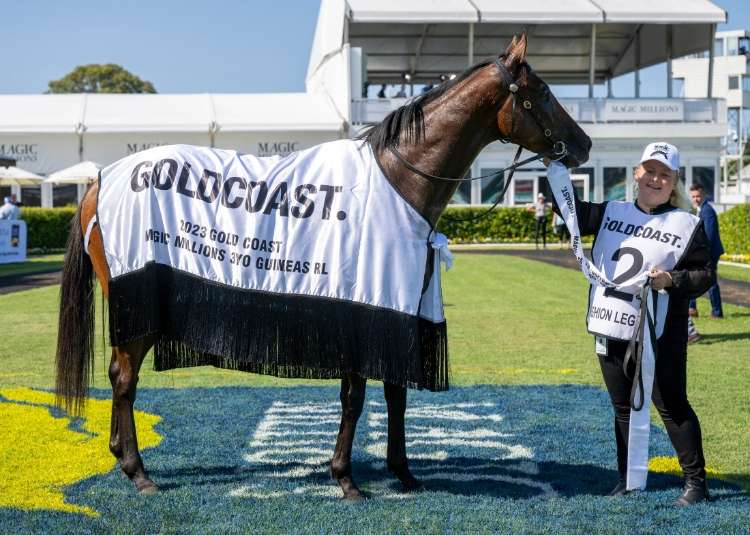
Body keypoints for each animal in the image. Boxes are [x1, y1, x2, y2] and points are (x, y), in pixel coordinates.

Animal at [55, 33, 591, 501]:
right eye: (543, 93)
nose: (584, 144)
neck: (398, 180)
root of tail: (101, 179)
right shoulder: (361, 311)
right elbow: (355, 398)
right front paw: (346, 479)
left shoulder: (395, 310)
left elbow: (396, 392)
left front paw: (404, 473)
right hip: (140, 301)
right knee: (124, 379)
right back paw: (137, 471)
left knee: (119, 374)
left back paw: (120, 455)